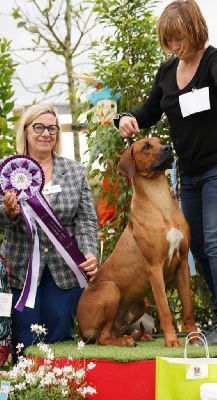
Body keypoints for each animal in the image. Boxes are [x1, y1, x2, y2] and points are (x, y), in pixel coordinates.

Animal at [77, 137, 199, 346]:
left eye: (160, 141)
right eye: (146, 146)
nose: (168, 148)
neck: (160, 202)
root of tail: (80, 331)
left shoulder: (182, 263)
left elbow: (188, 308)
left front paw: (195, 338)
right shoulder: (154, 267)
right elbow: (164, 309)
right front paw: (172, 341)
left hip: (139, 304)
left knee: (112, 333)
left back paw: (138, 337)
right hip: (110, 289)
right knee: (102, 338)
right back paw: (124, 342)